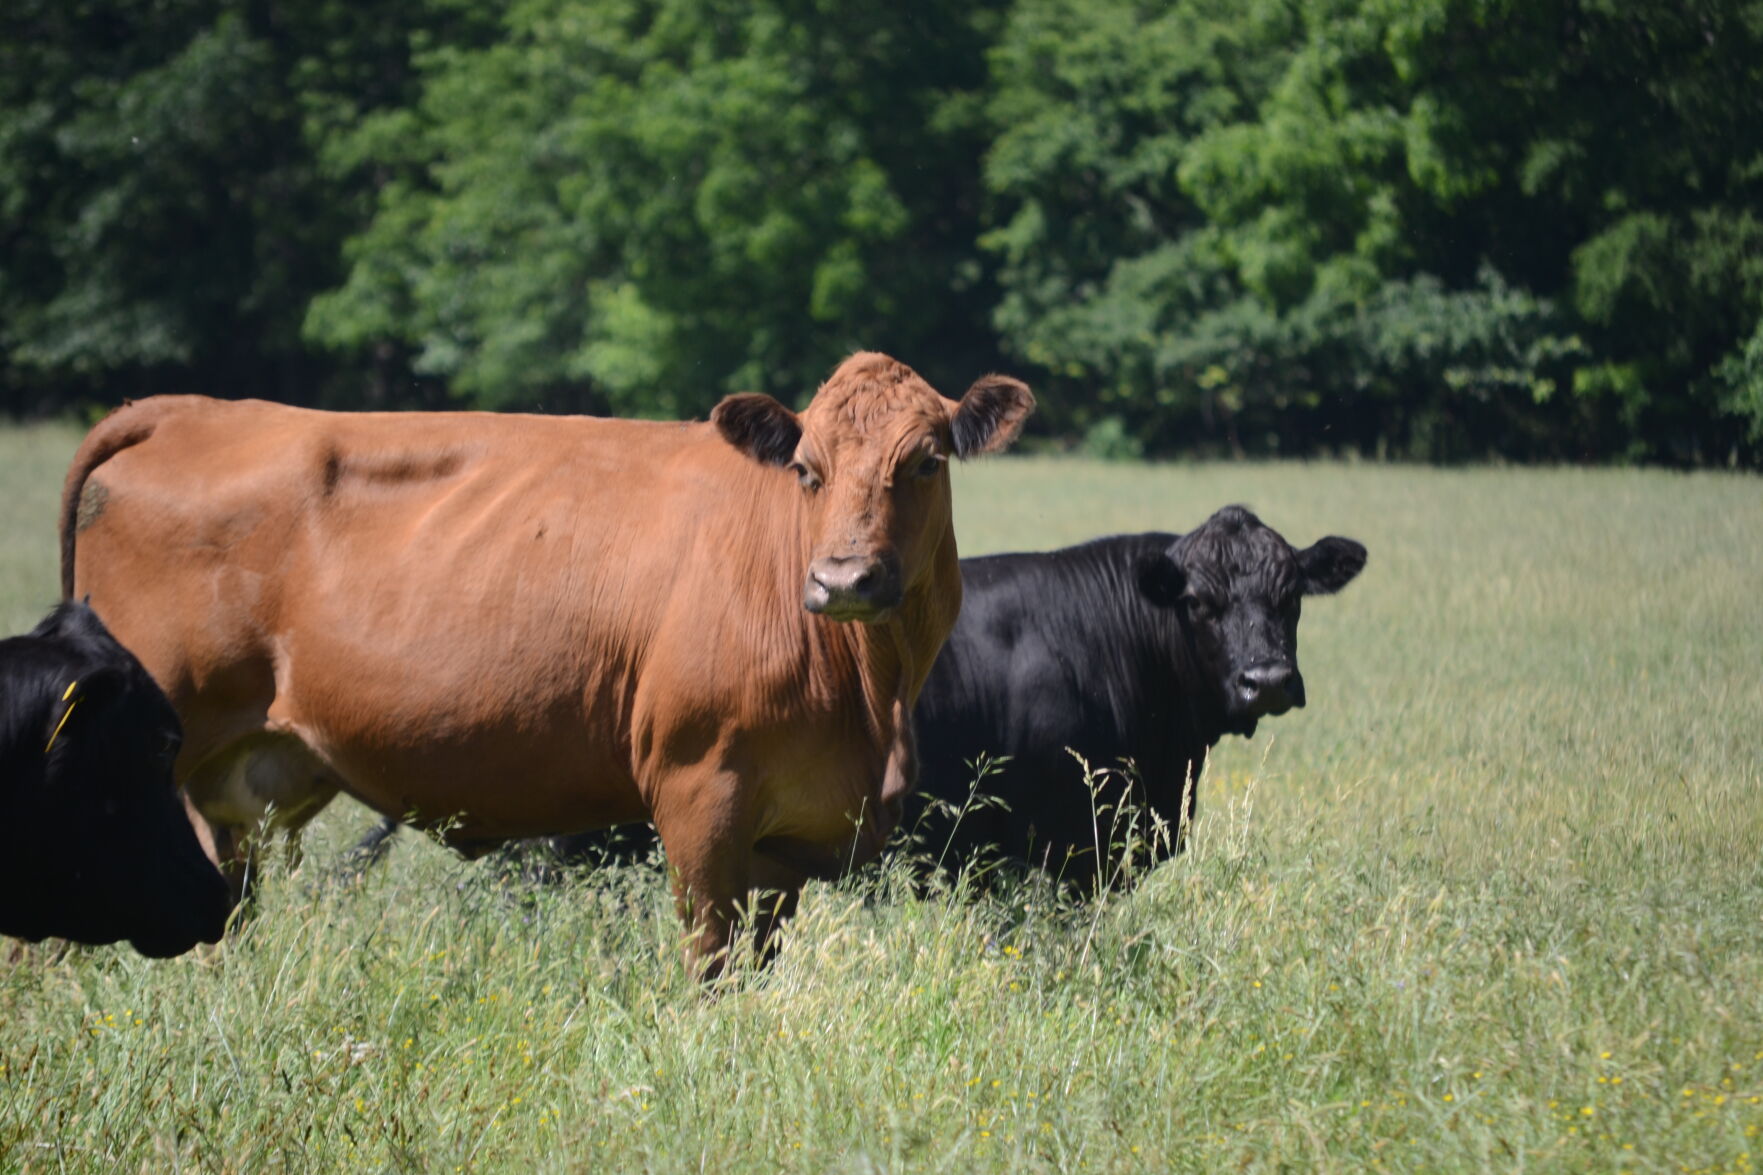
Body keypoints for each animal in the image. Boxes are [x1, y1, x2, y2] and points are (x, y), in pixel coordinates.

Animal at [62, 354, 1029, 966]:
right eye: (805, 468)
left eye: (925, 460)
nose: (843, 577)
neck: (867, 696)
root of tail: (191, 409)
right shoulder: (699, 790)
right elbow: (710, 962)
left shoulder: (788, 830)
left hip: (244, 787)